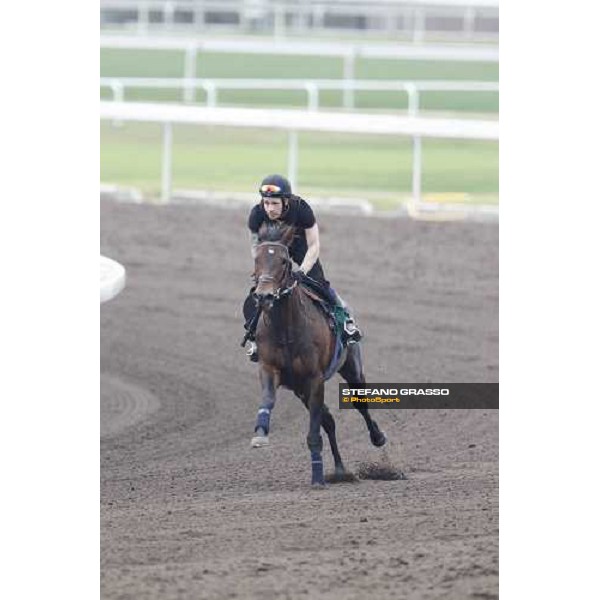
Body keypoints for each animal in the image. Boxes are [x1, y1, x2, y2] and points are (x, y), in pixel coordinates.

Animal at [247, 223, 384, 486]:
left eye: (283, 261)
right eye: (256, 259)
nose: (264, 296)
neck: (286, 328)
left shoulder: (314, 377)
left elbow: (313, 431)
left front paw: (317, 478)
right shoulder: (270, 368)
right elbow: (268, 399)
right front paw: (260, 433)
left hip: (352, 368)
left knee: (360, 403)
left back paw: (377, 437)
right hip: (299, 388)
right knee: (328, 421)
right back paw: (340, 469)